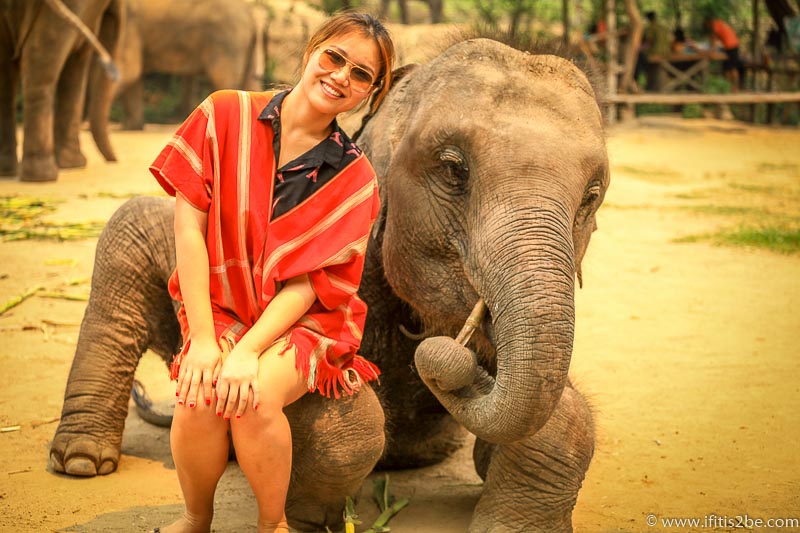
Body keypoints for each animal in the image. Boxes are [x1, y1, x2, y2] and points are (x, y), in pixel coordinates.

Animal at [0, 0, 122, 181]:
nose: (115, 160)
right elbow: (78, 57)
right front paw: (76, 164)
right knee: (43, 56)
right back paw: (44, 177)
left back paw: (14, 172)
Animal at [50, 38, 608, 532]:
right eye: (454, 170)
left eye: (591, 197)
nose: (450, 357)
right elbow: (343, 415)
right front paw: (308, 518)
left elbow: (563, 419)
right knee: (130, 227)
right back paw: (81, 460)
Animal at [86, 0, 268, 162]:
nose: (117, 159)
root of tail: (251, 13)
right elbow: (133, 77)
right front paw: (131, 127)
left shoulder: (129, 27)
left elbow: (129, 71)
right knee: (249, 82)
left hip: (227, 41)